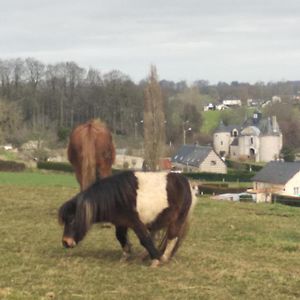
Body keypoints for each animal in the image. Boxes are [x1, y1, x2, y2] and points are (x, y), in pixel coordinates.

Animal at [58, 170, 197, 266]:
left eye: (72, 220)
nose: (65, 242)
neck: (117, 197)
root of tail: (186, 182)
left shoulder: (135, 222)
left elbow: (144, 239)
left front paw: (156, 259)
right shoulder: (121, 223)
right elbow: (120, 237)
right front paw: (126, 255)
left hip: (177, 220)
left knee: (172, 239)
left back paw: (163, 258)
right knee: (157, 237)